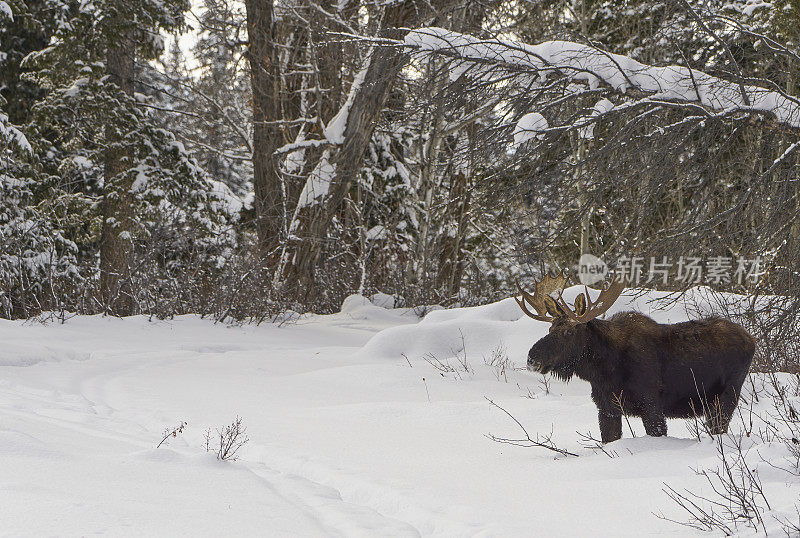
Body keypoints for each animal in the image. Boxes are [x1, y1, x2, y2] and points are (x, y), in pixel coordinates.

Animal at [516, 272, 752, 440]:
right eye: (550, 329)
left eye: (568, 332)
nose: (532, 358)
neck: (604, 371)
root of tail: (752, 340)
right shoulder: (606, 408)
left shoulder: (651, 405)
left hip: (727, 397)